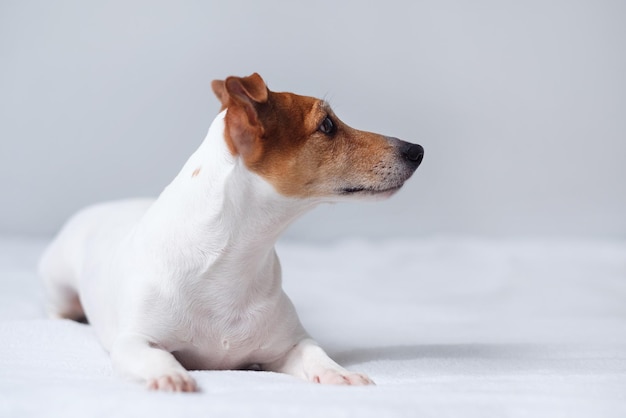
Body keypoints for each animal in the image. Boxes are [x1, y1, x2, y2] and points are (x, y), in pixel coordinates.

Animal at [39, 74, 424, 392]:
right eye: (327, 125)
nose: (417, 150)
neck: (234, 260)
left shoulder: (291, 344)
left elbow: (315, 353)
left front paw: (338, 372)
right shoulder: (134, 340)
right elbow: (154, 354)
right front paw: (171, 374)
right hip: (59, 288)